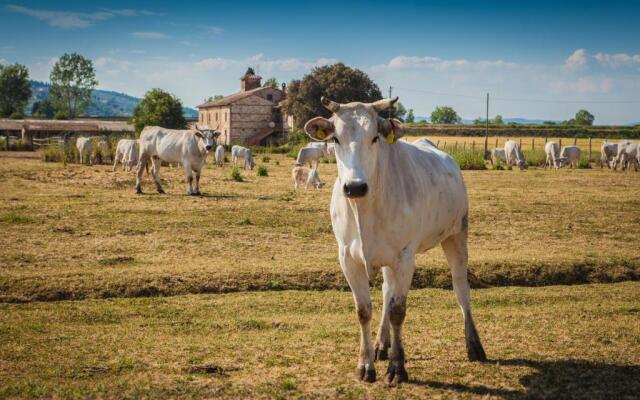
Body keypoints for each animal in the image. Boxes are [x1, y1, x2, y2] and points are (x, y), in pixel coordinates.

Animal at [302, 97, 488, 384]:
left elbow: (398, 311)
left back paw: (474, 345)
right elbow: (364, 310)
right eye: (335, 139)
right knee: (387, 291)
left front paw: (397, 367)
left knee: (461, 289)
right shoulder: (347, 259)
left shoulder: (405, 257)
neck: (365, 210)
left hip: (457, 234)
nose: (354, 187)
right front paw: (366, 364)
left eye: (375, 137)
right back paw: (381, 344)